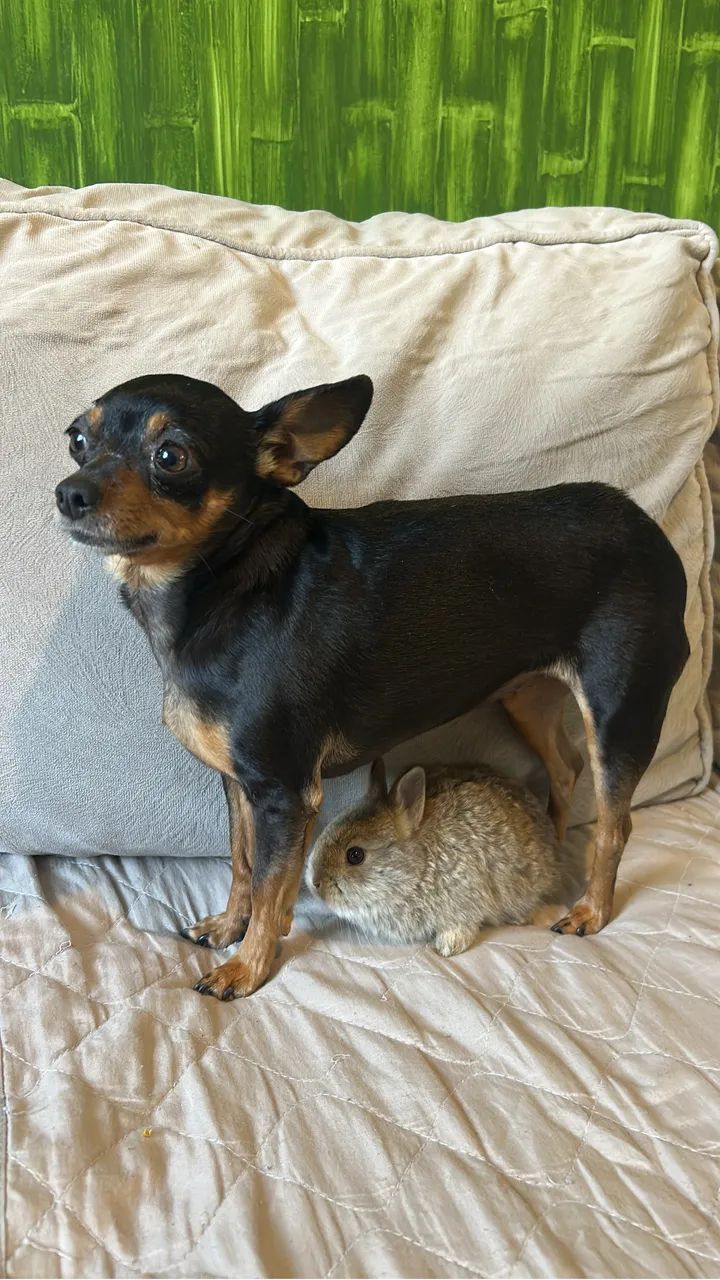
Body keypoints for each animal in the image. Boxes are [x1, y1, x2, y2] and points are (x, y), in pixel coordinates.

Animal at [305, 760, 580, 955]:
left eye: (355, 855)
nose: (315, 883)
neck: (417, 869)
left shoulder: (466, 900)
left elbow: (463, 926)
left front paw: (448, 947)